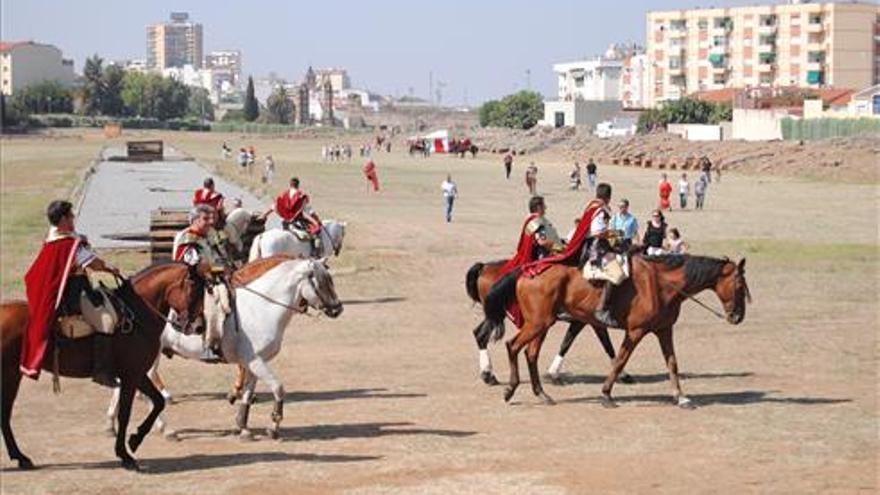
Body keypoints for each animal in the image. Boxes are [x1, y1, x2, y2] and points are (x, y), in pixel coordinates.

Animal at [0, 262, 206, 470]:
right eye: (194, 290)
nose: (199, 327)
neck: (137, 313)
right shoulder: (131, 376)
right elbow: (125, 414)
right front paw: (125, 455)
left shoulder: (137, 374)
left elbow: (158, 401)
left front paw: (135, 439)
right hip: (10, 375)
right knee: (4, 414)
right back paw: (20, 456)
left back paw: (20, 457)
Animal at [107, 258, 344, 440]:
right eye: (322, 281)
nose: (337, 309)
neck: (262, 308)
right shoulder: (256, 361)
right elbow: (278, 388)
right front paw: (273, 427)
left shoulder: (253, 363)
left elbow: (248, 393)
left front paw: (243, 427)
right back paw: (165, 429)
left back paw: (111, 424)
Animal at [464, 260, 628, 388]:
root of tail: (484, 267)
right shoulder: (587, 320)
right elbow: (604, 345)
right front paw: (623, 374)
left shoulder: (584, 321)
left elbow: (569, 342)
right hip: (501, 314)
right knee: (482, 335)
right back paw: (488, 374)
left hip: (496, 313)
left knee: (479, 334)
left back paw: (488, 374)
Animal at [482, 254, 748, 408]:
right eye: (739, 286)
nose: (737, 317)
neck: (661, 284)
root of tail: (527, 270)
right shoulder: (636, 332)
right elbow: (620, 360)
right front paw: (606, 394)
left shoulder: (664, 330)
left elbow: (672, 363)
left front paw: (680, 397)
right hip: (538, 323)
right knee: (513, 346)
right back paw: (510, 389)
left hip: (542, 324)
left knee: (531, 353)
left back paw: (541, 394)